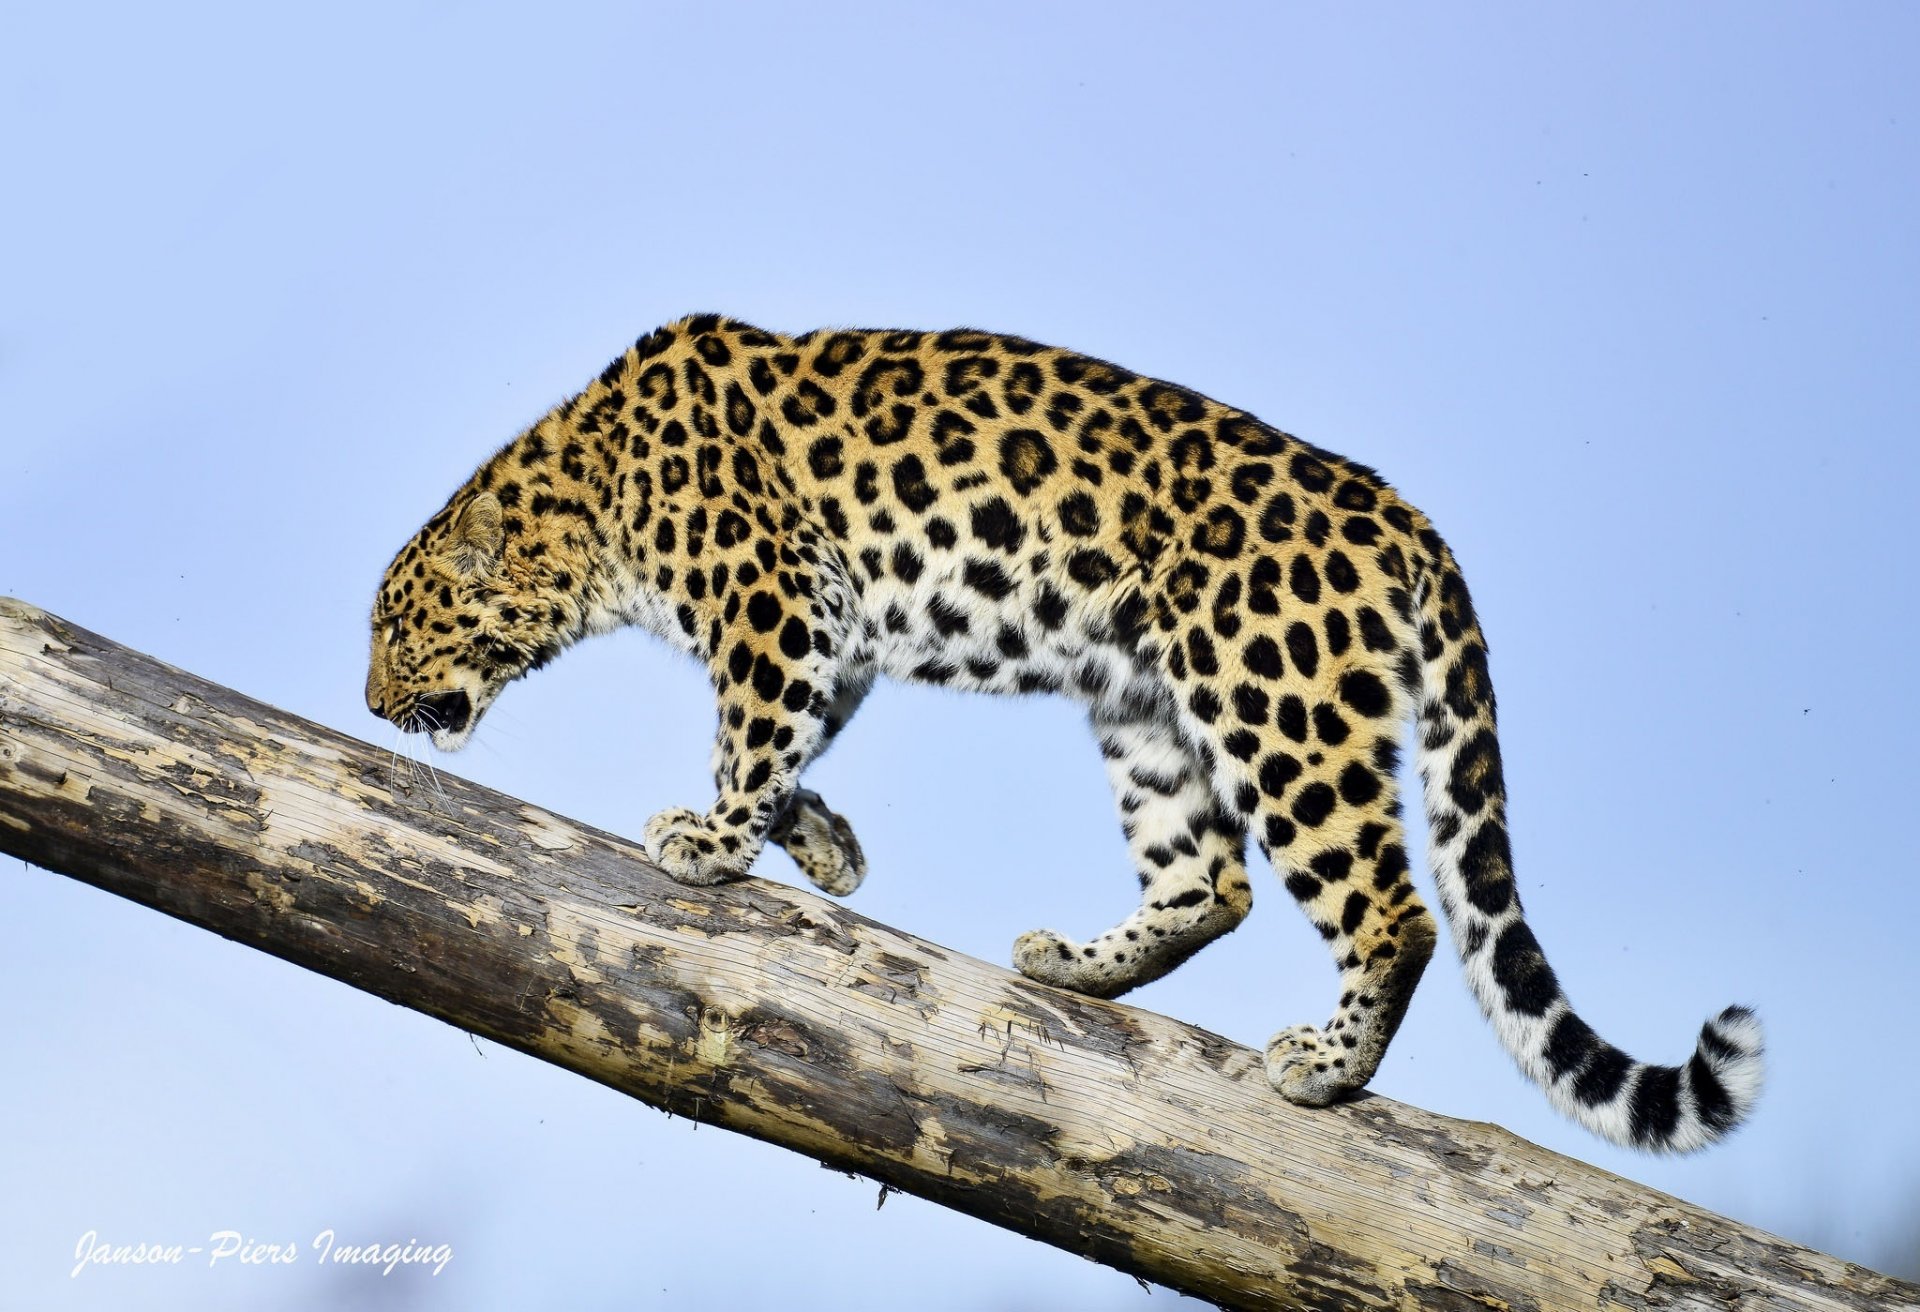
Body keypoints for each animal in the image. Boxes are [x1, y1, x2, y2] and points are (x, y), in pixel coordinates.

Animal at [366, 314, 1763, 1152]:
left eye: (396, 624)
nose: (373, 703)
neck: (588, 504)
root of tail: (1403, 515)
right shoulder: (834, 627)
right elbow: (797, 738)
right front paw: (821, 847)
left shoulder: (773, 598)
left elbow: (754, 732)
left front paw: (709, 844)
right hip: (1147, 703)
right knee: (1209, 883)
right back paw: (1073, 967)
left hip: (1276, 700)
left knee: (1391, 907)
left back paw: (1326, 1064)